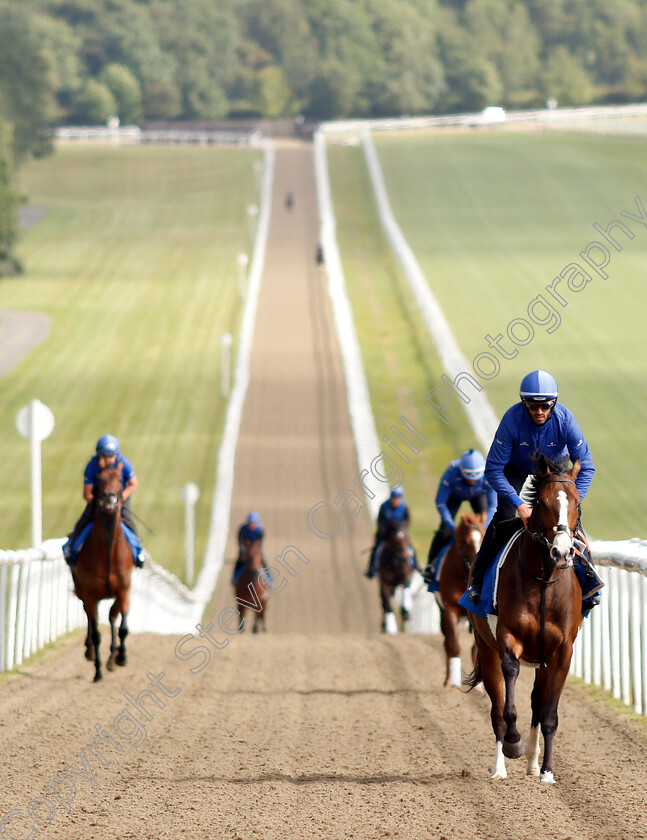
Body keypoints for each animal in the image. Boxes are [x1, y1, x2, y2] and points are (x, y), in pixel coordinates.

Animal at [71, 466, 134, 684]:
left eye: (120, 480)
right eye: (99, 479)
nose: (109, 498)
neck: (107, 549)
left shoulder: (124, 589)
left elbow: (122, 627)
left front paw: (121, 657)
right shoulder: (90, 594)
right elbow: (97, 633)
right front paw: (97, 672)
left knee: (113, 616)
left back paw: (113, 657)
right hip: (82, 591)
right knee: (91, 620)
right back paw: (90, 651)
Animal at [436, 512, 486, 688]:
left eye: (484, 535)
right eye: (465, 541)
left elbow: (477, 649)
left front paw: (480, 686)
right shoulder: (449, 609)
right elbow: (454, 645)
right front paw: (454, 683)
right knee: (447, 643)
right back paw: (447, 681)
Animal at [468, 456, 584, 784]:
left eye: (577, 502)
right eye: (543, 503)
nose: (561, 552)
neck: (544, 582)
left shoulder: (562, 651)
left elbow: (549, 715)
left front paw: (546, 772)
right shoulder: (508, 639)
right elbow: (508, 701)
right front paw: (513, 744)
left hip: (542, 660)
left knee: (536, 703)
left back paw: (533, 764)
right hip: (486, 649)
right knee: (496, 709)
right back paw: (499, 768)